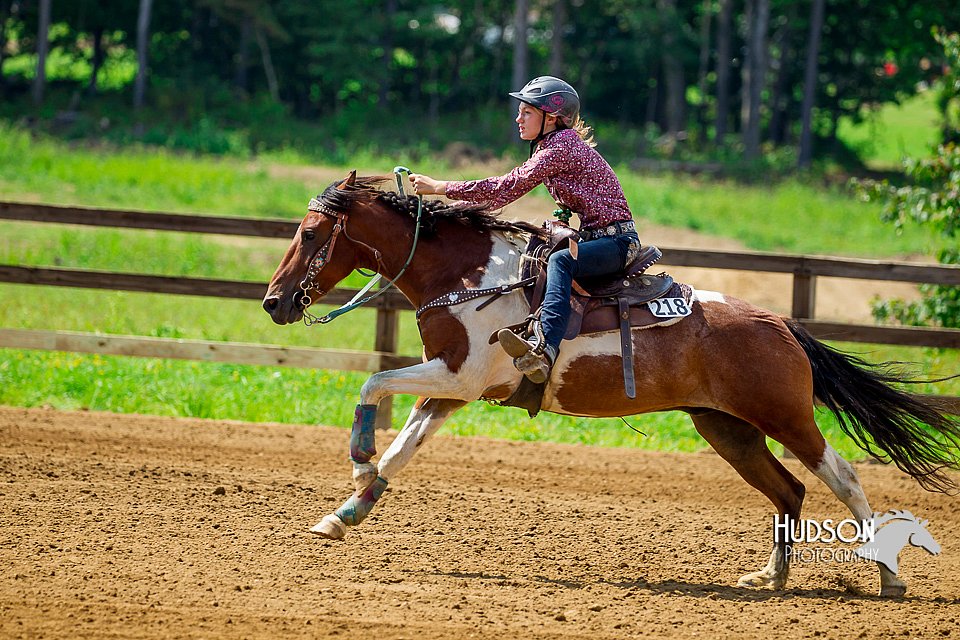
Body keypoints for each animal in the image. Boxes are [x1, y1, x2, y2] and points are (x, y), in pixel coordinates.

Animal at [262, 172, 960, 596]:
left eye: (310, 233)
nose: (273, 302)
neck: (470, 276)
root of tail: (780, 323)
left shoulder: (459, 375)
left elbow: (374, 383)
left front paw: (357, 461)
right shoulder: (454, 389)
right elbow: (403, 447)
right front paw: (344, 513)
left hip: (787, 418)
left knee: (841, 476)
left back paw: (888, 579)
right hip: (727, 428)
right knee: (788, 490)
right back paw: (769, 578)